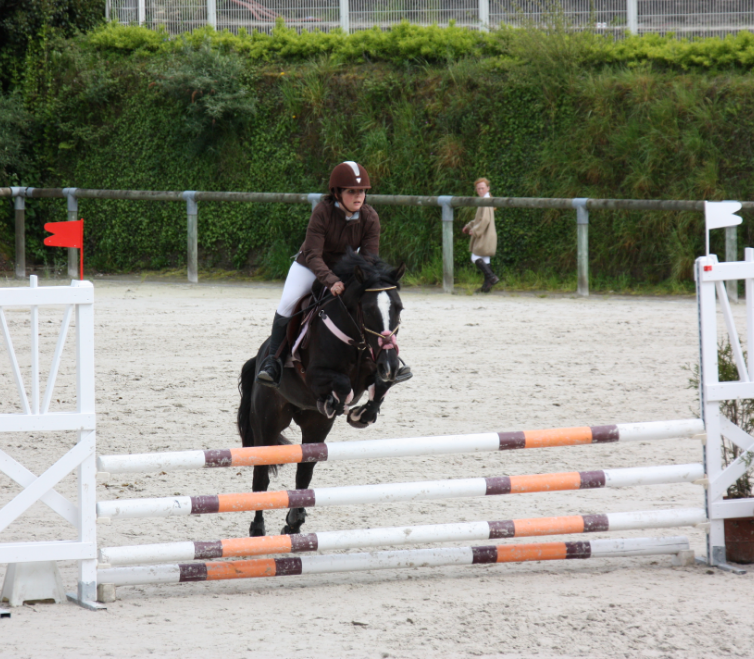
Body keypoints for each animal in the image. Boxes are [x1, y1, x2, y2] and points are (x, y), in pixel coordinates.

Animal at [239, 251, 406, 536]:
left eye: (399, 308)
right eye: (369, 310)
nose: (391, 365)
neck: (355, 337)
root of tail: (260, 356)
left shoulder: (373, 367)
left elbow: (379, 385)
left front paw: (362, 414)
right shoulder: (315, 375)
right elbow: (343, 384)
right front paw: (336, 402)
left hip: (315, 426)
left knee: (304, 471)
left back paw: (294, 521)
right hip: (267, 423)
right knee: (260, 477)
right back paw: (258, 529)